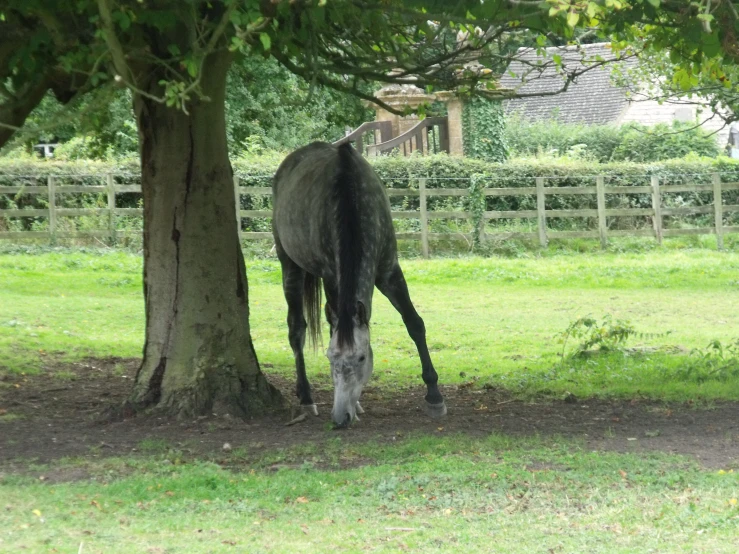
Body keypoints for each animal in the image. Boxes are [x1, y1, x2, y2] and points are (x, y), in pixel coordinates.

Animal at [270, 140, 446, 424]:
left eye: (362, 358)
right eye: (330, 358)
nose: (340, 417)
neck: (351, 200)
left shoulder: (389, 272)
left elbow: (414, 324)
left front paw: (434, 396)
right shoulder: (333, 278)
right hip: (290, 266)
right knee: (296, 329)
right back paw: (306, 397)